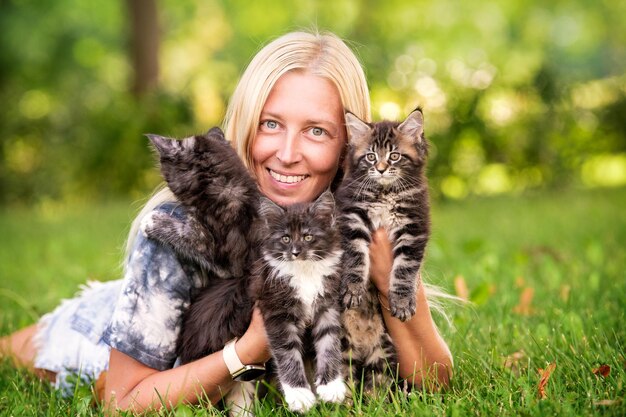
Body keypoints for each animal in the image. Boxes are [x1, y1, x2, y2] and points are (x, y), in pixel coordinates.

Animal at [336, 108, 428, 386]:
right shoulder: (351, 217)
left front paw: (402, 301)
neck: (385, 194)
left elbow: (405, 269)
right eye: (371, 156)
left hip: (383, 355)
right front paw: (353, 289)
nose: (381, 169)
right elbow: (355, 257)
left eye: (394, 156)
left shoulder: (414, 227)